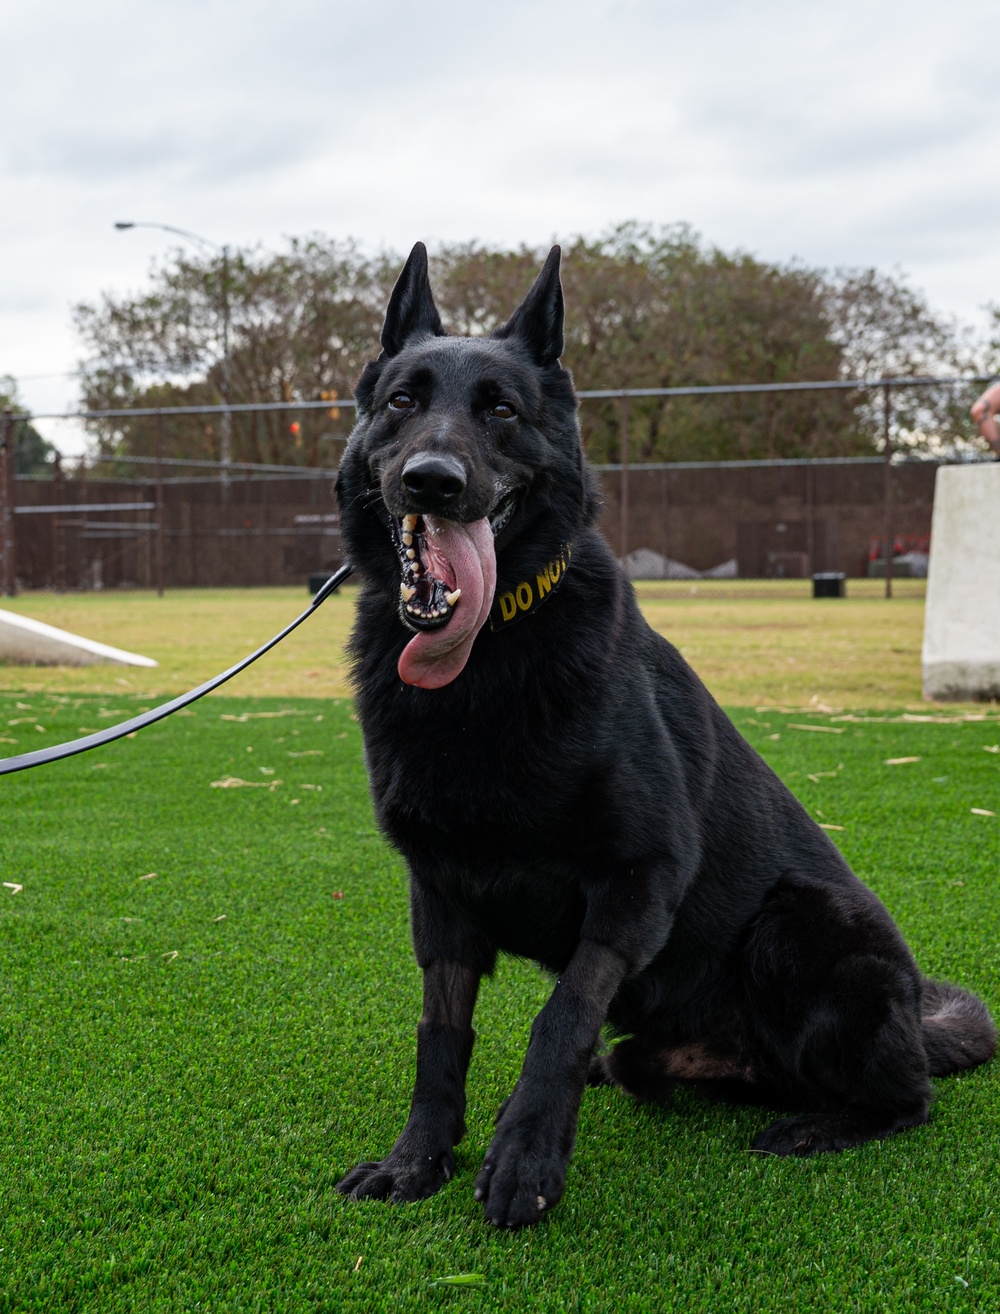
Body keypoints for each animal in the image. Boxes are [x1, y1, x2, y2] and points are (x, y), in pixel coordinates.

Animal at [333, 244, 993, 1229]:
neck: (489, 656)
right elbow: (440, 1033)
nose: (432, 481)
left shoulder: (638, 876)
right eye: (402, 401)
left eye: (501, 409)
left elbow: (559, 1017)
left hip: (799, 921)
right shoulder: (440, 897)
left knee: (907, 1100)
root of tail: (916, 1015)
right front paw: (419, 1157)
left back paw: (823, 1126)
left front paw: (525, 1157)